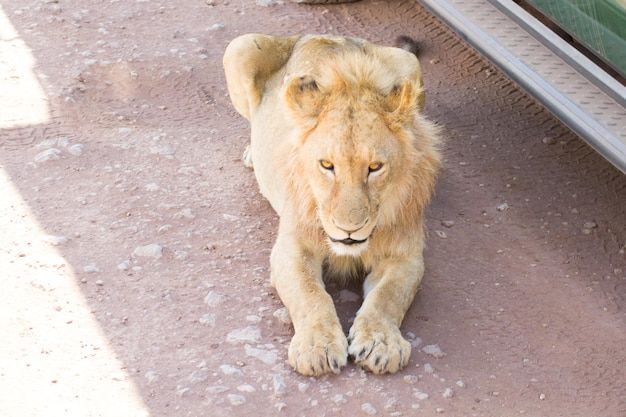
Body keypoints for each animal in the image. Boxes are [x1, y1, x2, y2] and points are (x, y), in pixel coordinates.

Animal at [223, 34, 438, 376]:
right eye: (327, 165)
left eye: (375, 167)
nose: (348, 229)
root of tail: (314, 34)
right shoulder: (292, 248)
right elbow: (310, 295)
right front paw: (317, 347)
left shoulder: (405, 257)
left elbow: (388, 296)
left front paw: (380, 343)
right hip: (241, 46)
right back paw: (251, 154)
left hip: (410, 65)